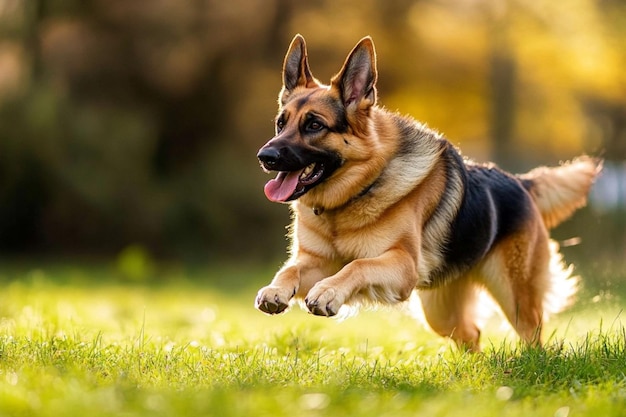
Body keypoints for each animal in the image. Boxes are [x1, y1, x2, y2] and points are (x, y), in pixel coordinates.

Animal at [254, 34, 600, 350]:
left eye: (314, 125)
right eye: (280, 124)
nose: (265, 157)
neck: (356, 192)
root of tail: (519, 181)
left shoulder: (401, 265)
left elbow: (357, 265)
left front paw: (328, 292)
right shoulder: (318, 262)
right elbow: (291, 269)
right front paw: (275, 289)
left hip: (515, 298)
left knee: (533, 338)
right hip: (440, 313)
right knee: (471, 334)